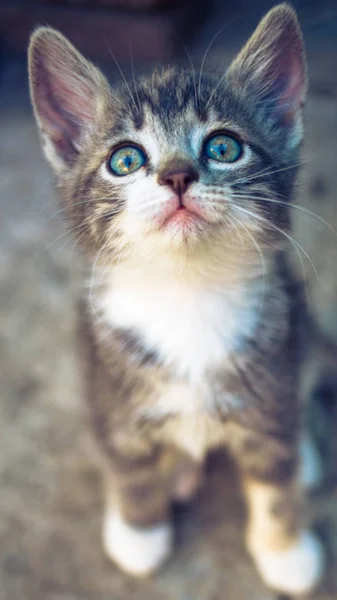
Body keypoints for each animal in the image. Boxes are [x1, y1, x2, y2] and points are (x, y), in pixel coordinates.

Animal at [28, 4, 322, 596]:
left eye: (223, 147)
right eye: (125, 159)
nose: (177, 174)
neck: (187, 295)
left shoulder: (275, 362)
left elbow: (275, 480)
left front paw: (286, 551)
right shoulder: (108, 385)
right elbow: (129, 466)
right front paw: (139, 534)